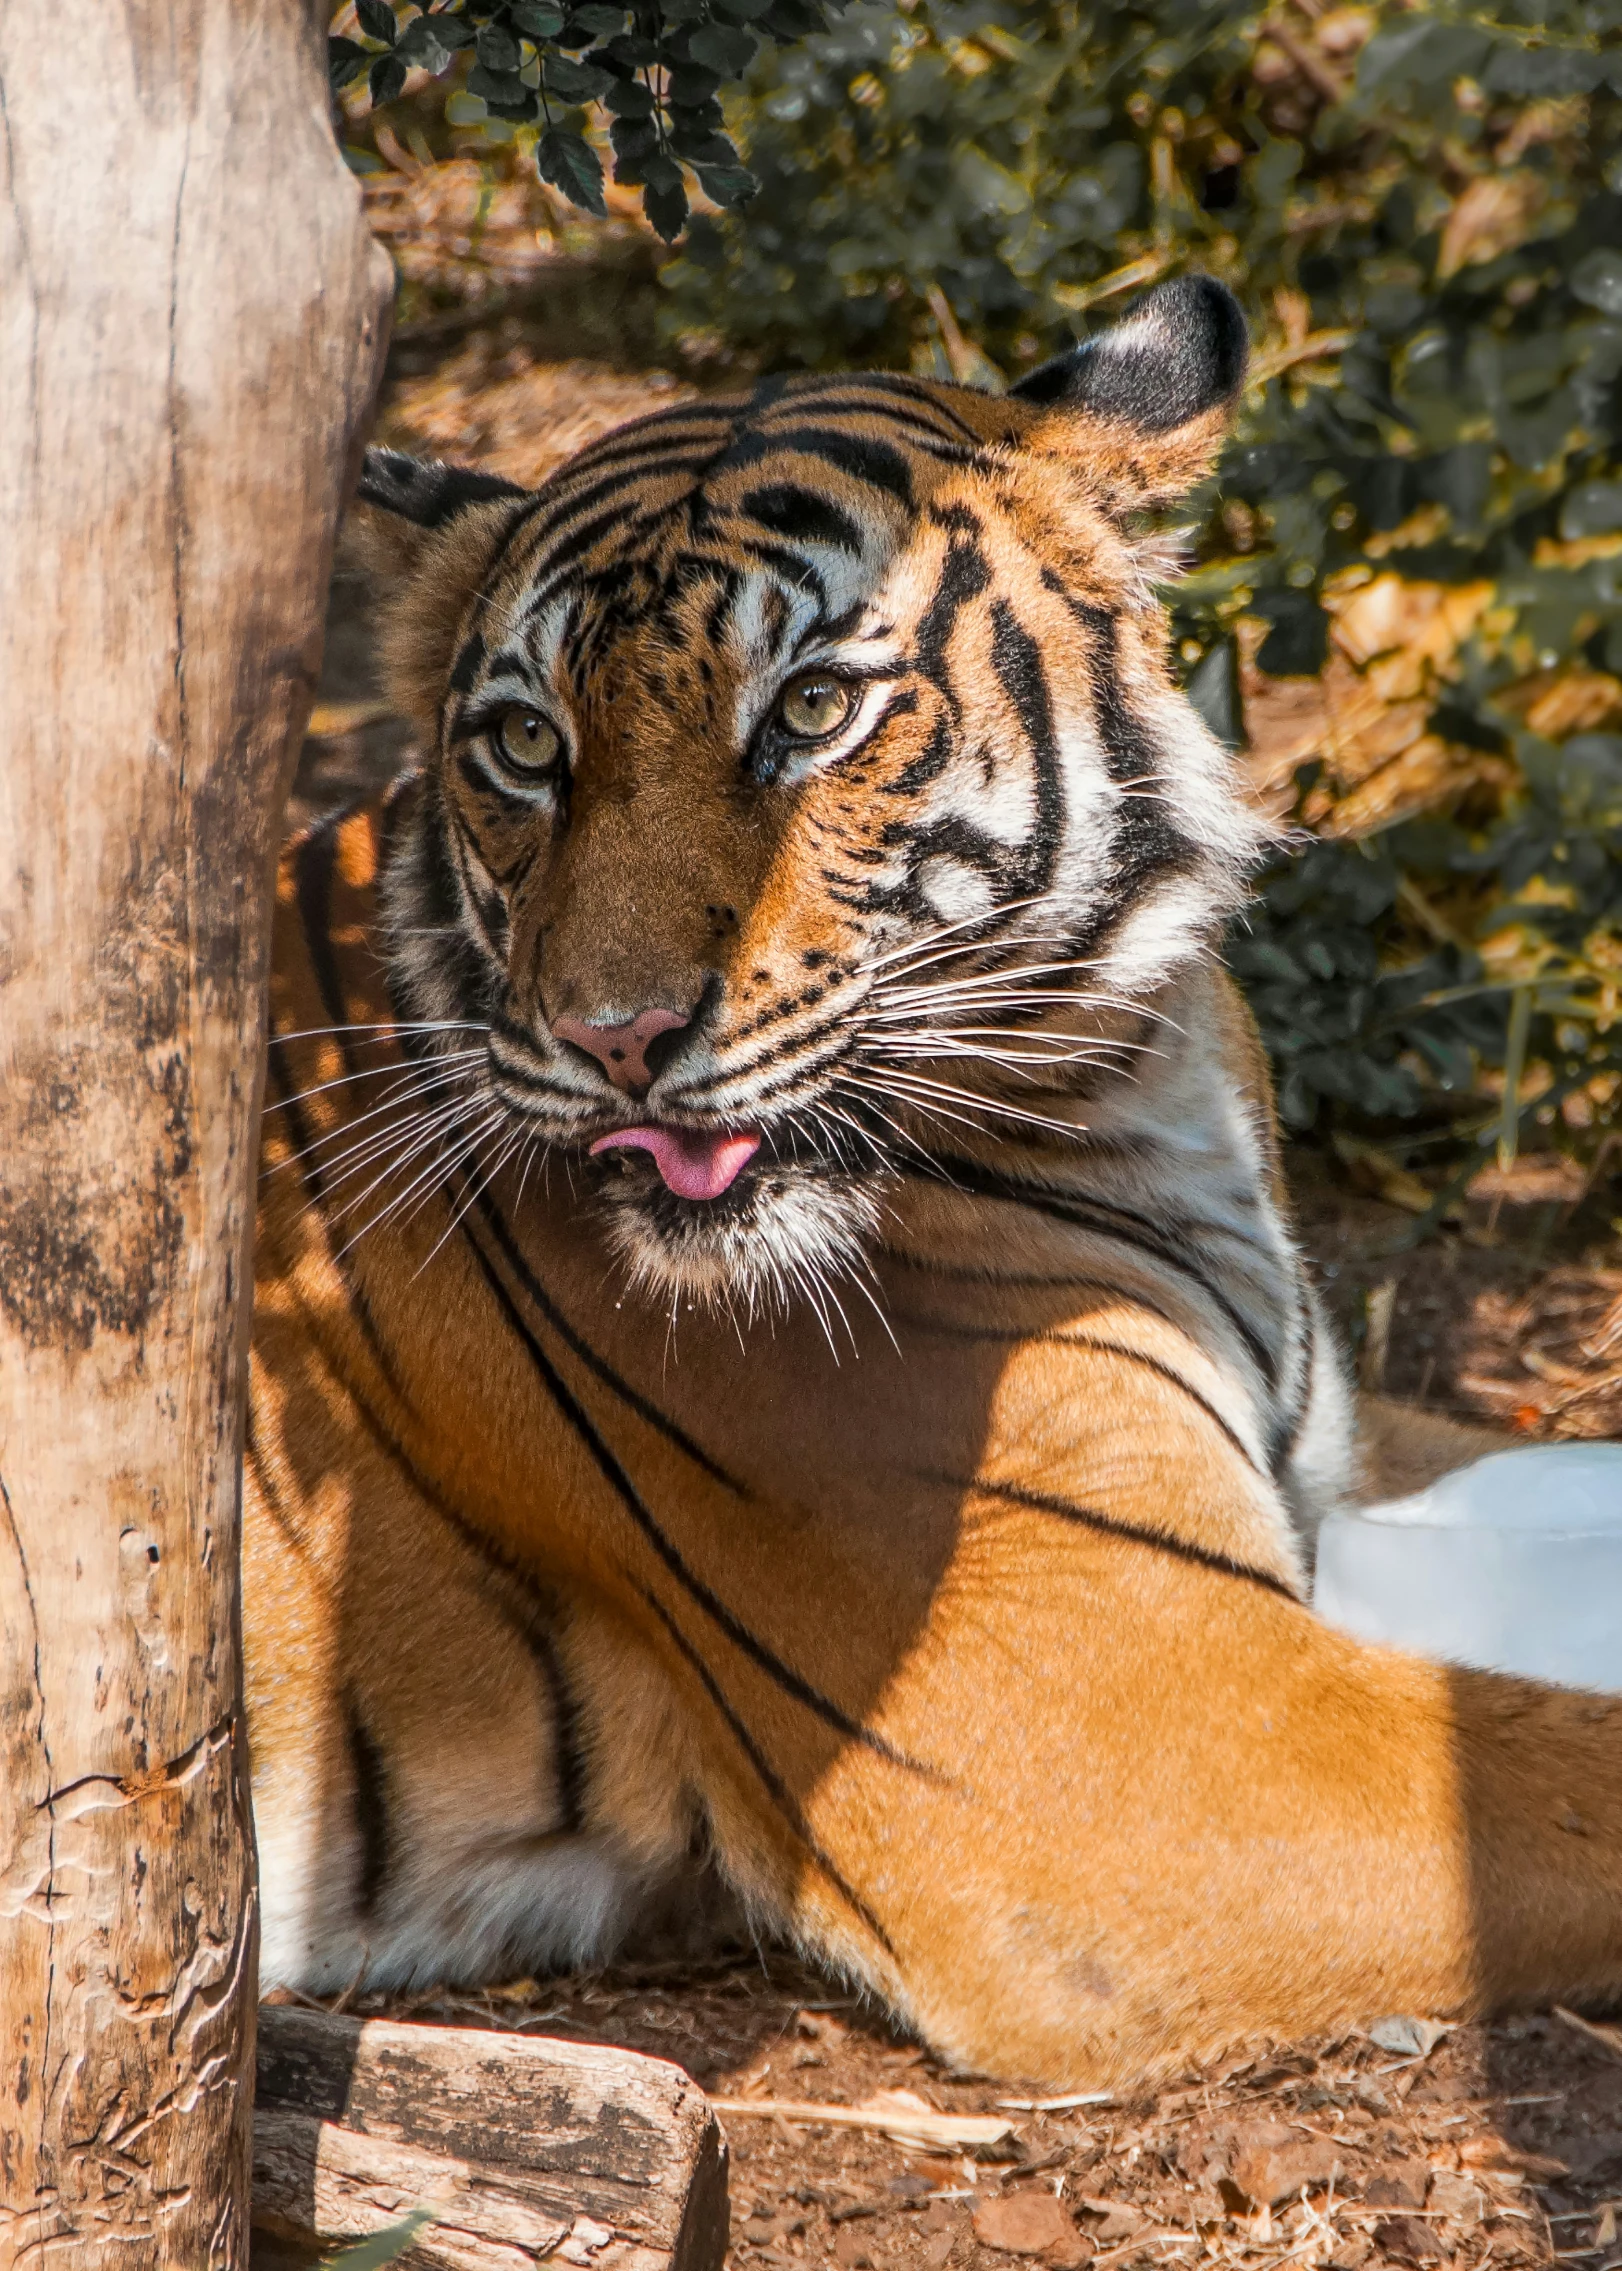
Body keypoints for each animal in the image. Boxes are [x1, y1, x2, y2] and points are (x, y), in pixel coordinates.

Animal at [249, 274, 1617, 2080]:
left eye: (811, 709)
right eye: (527, 744)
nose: (613, 1036)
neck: (1135, 1075)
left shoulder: (1325, 1457)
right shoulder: (1128, 1731)